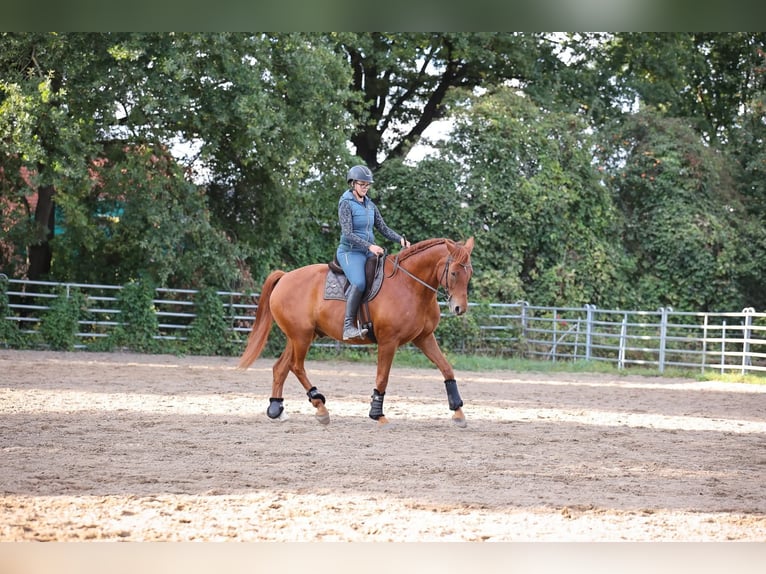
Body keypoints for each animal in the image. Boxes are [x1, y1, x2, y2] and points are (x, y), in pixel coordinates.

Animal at [237, 237, 475, 427]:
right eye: (454, 273)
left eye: (469, 273)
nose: (459, 308)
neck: (409, 284)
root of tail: (285, 277)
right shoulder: (388, 341)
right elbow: (382, 378)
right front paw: (377, 414)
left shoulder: (424, 338)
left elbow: (446, 369)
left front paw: (458, 412)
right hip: (301, 337)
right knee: (296, 367)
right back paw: (320, 407)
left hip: (299, 337)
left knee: (281, 368)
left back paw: (276, 410)